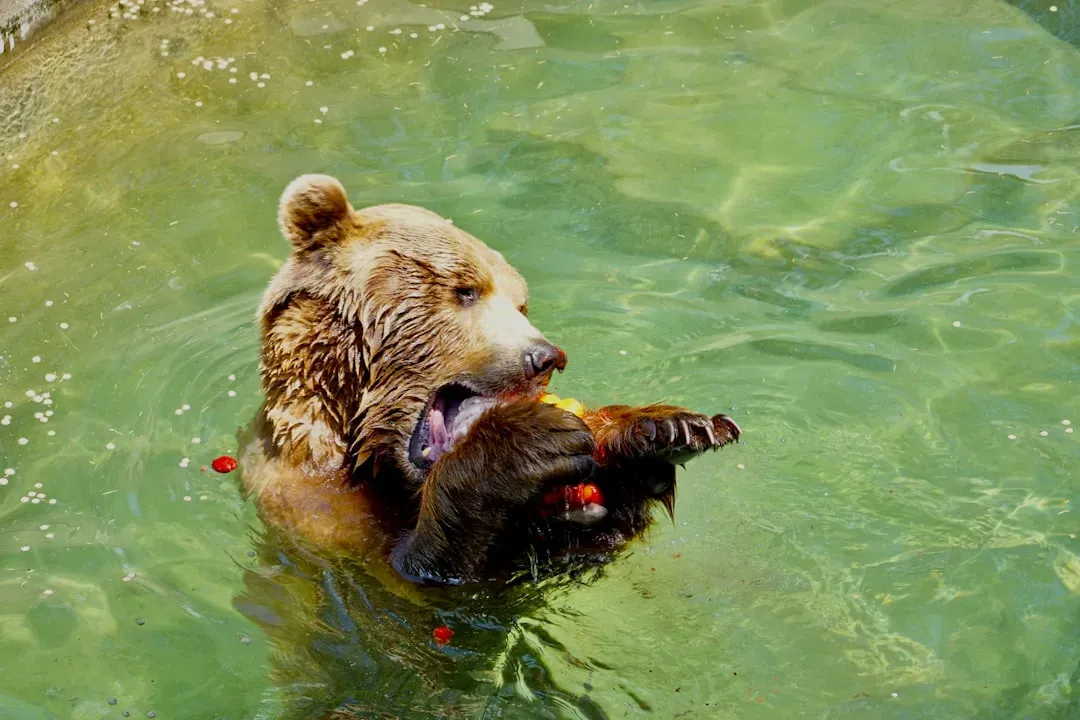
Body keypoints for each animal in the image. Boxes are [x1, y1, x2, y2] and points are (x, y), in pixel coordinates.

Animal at [239, 174, 740, 586]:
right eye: (465, 289)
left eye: (521, 304)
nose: (545, 356)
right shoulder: (315, 513)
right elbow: (415, 570)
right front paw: (523, 442)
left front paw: (663, 430)